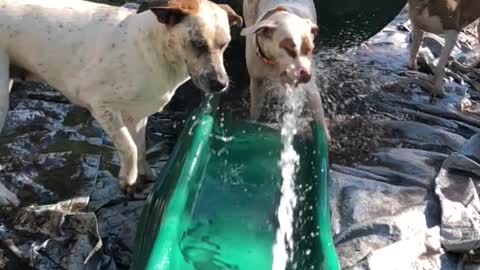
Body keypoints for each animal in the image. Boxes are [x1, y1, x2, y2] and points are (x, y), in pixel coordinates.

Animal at [0, 0, 242, 194]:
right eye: (197, 44)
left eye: (225, 44)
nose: (221, 84)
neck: (153, 50)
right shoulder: (102, 106)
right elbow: (129, 147)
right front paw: (129, 178)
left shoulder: (138, 116)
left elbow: (141, 147)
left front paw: (144, 173)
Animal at [240, 0, 326, 134]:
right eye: (288, 49)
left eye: (310, 49)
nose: (306, 75)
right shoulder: (257, 82)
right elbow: (254, 112)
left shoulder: (310, 90)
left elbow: (319, 120)